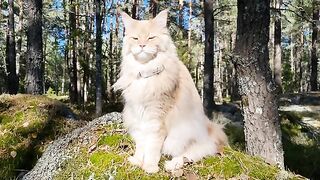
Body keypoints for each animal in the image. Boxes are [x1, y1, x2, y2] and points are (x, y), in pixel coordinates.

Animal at [112, 9, 228, 173]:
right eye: (135, 38)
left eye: (151, 37)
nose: (142, 45)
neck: (145, 73)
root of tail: (210, 128)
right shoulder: (138, 117)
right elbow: (141, 145)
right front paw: (137, 161)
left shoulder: (156, 119)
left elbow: (152, 147)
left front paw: (150, 167)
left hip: (185, 133)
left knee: (195, 152)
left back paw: (172, 164)